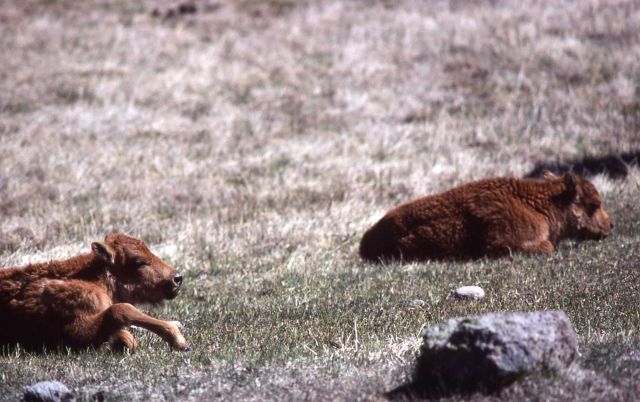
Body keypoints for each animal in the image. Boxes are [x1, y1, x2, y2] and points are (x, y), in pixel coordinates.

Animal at [0, 232, 189, 352]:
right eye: (139, 261)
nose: (177, 278)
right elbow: (121, 310)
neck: (92, 277)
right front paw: (180, 341)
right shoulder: (76, 330)